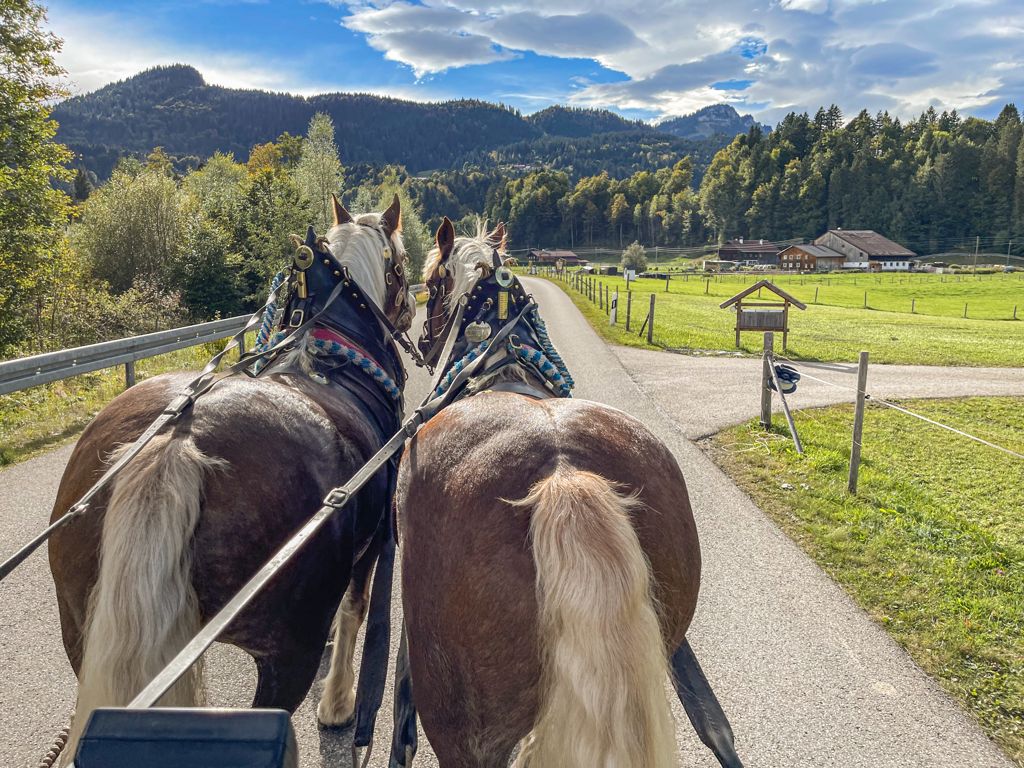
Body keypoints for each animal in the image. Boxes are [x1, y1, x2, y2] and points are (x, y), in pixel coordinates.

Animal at [48, 195, 415, 761]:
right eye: (401, 265)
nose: (413, 310)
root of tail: (178, 440)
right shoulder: (372, 541)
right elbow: (353, 612)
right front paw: (338, 702)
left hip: (79, 626)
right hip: (287, 653)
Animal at [395, 221, 741, 768]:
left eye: (431, 280)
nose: (423, 342)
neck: (502, 364)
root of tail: (564, 473)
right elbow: (712, 723)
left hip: (462, 726)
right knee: (718, 732)